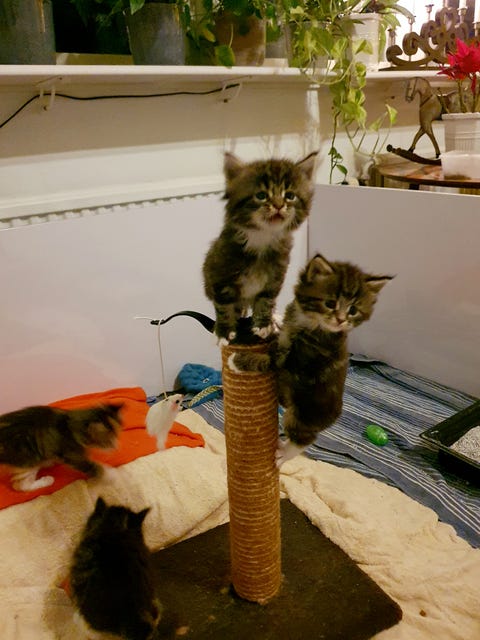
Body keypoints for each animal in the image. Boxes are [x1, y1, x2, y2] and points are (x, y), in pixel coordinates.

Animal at [203, 150, 318, 344]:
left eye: (290, 196)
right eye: (262, 195)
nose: (278, 205)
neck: (262, 237)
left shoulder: (276, 275)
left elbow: (266, 300)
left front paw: (264, 325)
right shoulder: (220, 274)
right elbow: (223, 306)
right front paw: (224, 331)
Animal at [228, 253, 393, 466]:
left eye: (353, 310)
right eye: (330, 303)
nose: (340, 320)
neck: (310, 323)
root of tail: (336, 415)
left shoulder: (297, 362)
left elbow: (267, 361)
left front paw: (236, 360)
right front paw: (274, 319)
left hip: (303, 414)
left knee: (305, 438)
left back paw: (284, 454)